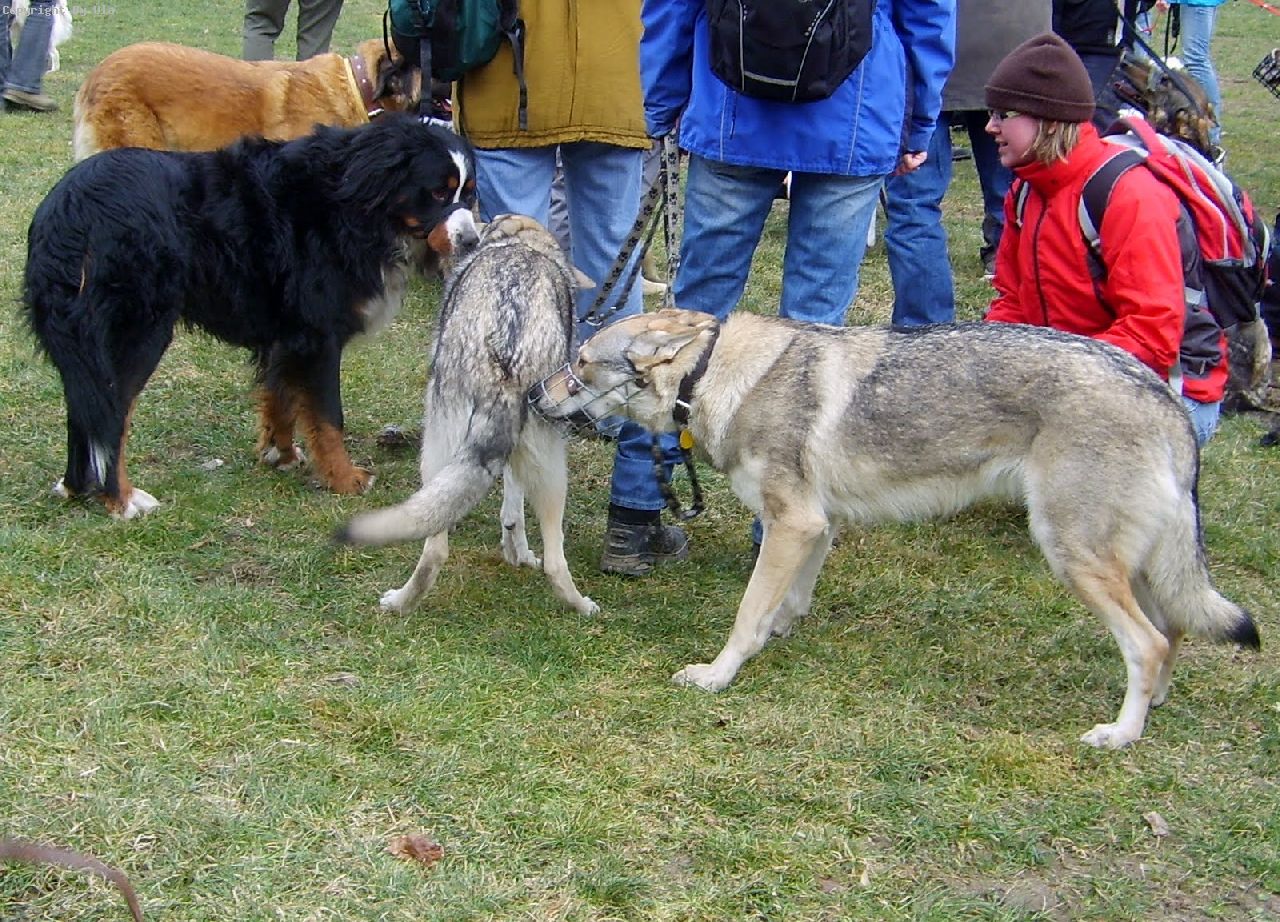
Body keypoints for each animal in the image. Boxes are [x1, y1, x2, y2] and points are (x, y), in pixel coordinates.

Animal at [23, 114, 478, 519]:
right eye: (438, 193)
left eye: (469, 193)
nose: (472, 240)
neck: (354, 205)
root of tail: (69, 207)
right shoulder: (318, 336)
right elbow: (329, 417)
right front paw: (345, 479)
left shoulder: (287, 335)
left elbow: (281, 398)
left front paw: (282, 453)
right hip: (137, 334)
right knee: (111, 415)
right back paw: (121, 500)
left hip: (86, 345)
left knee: (84, 408)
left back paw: (76, 486)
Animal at [337, 215, 599, 617]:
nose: (473, 223)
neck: (526, 245)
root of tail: (506, 353)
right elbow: (513, 511)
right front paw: (518, 554)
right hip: (536, 463)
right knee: (544, 557)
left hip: (442, 452)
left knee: (440, 547)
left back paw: (398, 603)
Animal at [528, 308, 1260, 748]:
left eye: (581, 363)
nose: (534, 394)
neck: (716, 377)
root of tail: (1164, 397)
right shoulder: (814, 526)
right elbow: (786, 602)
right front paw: (776, 636)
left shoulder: (792, 523)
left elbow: (745, 613)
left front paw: (717, 674)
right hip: (1129, 564)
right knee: (1173, 633)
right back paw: (1155, 706)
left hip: (1073, 554)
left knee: (1148, 643)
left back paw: (1120, 734)